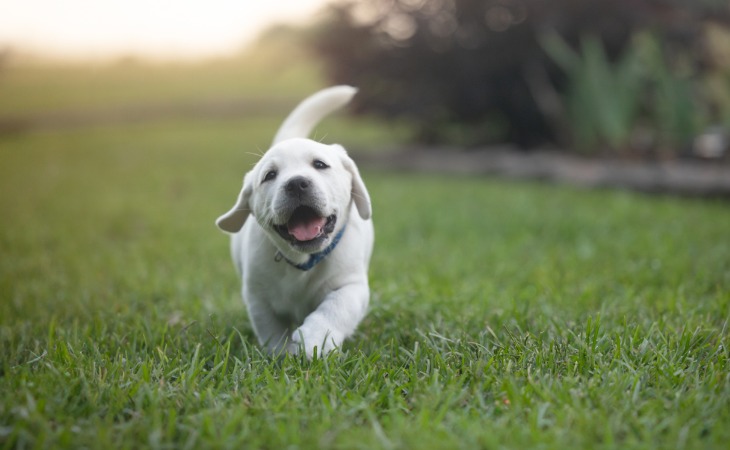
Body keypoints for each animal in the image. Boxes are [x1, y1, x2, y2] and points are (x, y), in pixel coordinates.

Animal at [213, 85, 372, 358]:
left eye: (319, 164)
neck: (303, 262)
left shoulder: (352, 285)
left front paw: (316, 338)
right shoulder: (258, 297)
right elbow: (272, 331)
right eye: (270, 175)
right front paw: (282, 355)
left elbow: (336, 307)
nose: (297, 183)